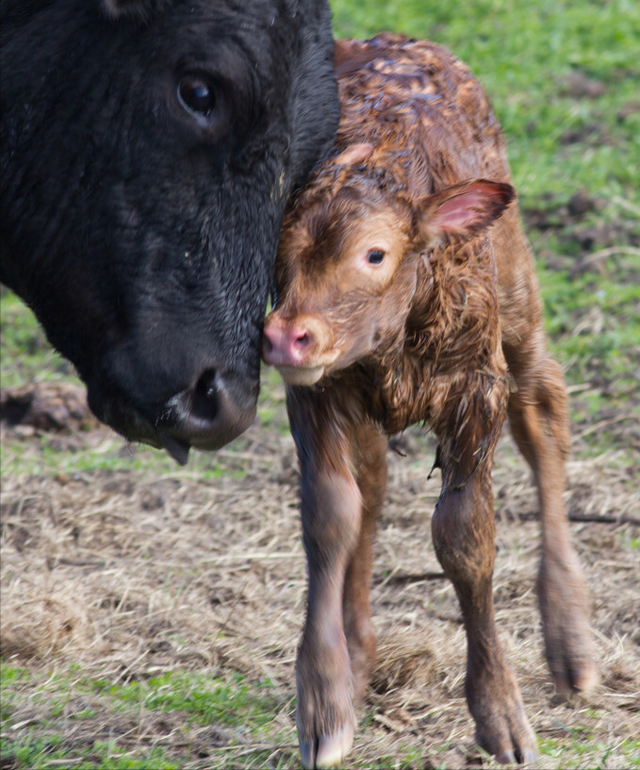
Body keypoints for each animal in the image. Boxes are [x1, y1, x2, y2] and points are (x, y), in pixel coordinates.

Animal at [260, 34, 596, 768]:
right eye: (277, 253)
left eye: (374, 254)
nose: (287, 336)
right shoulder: (321, 393)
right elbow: (332, 515)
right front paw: (325, 703)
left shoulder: (476, 392)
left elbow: (465, 536)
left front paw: (501, 715)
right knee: (373, 485)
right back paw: (359, 655)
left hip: (519, 303)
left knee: (545, 411)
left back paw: (572, 644)